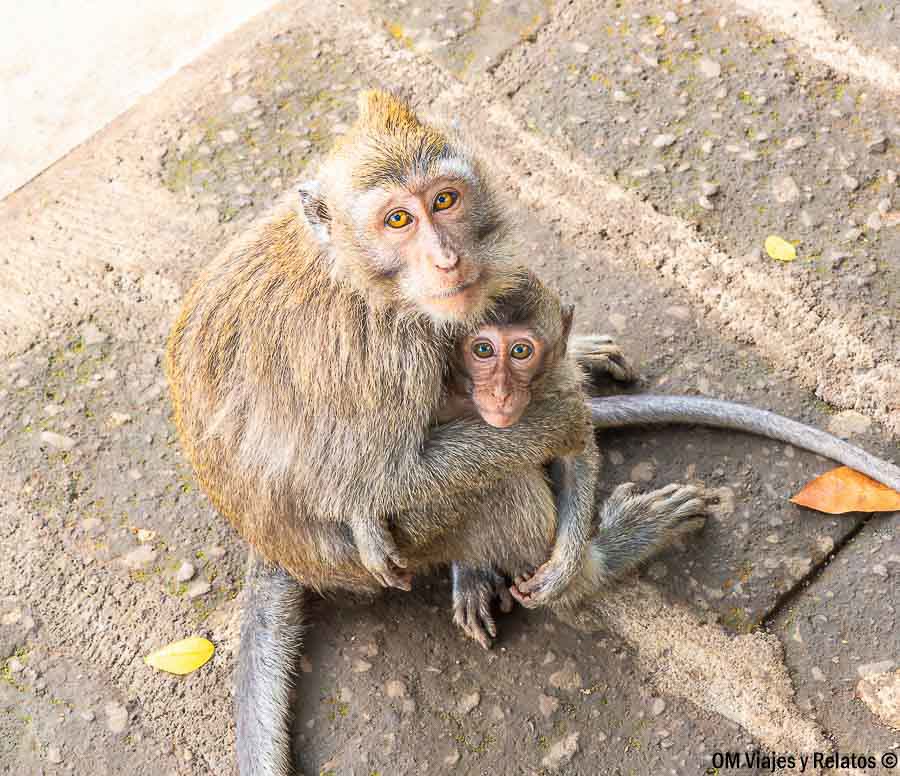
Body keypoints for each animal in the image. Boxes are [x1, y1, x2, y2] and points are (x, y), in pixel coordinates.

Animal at [166, 90, 718, 776]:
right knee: (485, 489)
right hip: (377, 554)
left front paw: (573, 359)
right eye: (398, 220)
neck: (357, 272)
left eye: (445, 201)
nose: (447, 259)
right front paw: (565, 419)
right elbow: (383, 481)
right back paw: (602, 558)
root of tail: (267, 547)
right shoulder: (389, 353)